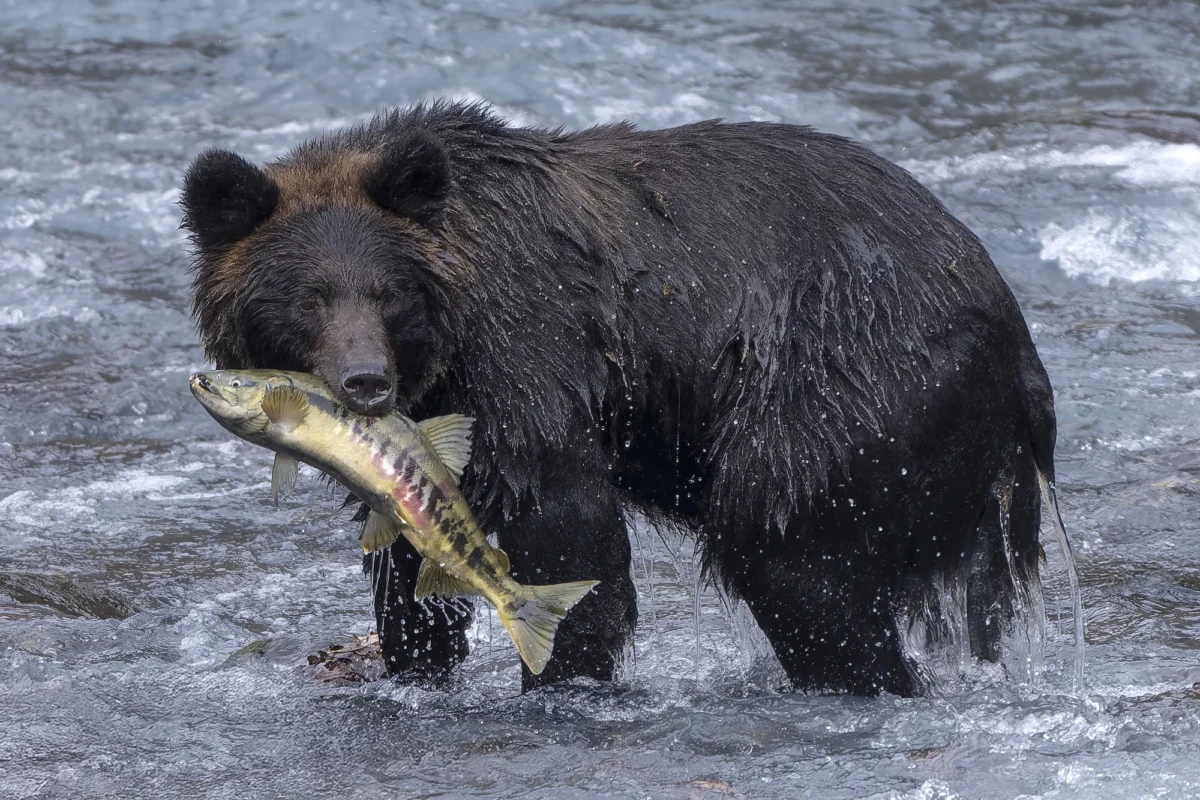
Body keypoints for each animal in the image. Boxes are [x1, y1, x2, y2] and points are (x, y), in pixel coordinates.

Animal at [180, 100, 1058, 696]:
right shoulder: (428, 434)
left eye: (387, 292)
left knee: (794, 558)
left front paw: (557, 677)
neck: (453, 336)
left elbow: (569, 535)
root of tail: (1016, 339)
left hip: (847, 388)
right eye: (307, 298)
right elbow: (407, 561)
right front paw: (415, 664)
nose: (365, 382)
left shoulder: (532, 357)